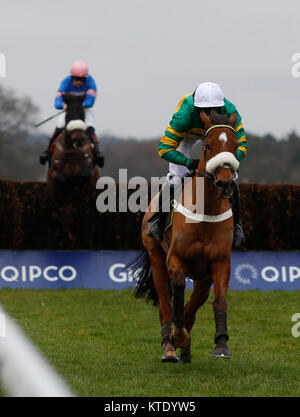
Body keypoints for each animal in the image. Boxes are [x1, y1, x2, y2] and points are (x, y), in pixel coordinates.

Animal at [130, 109, 240, 360]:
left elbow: (219, 301)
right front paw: (176, 336)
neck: (205, 213)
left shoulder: (220, 261)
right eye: (208, 146)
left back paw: (185, 349)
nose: (225, 183)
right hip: (156, 256)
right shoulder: (174, 258)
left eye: (235, 145)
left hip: (202, 276)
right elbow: (178, 289)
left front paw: (221, 343)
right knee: (165, 304)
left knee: (194, 304)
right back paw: (170, 346)